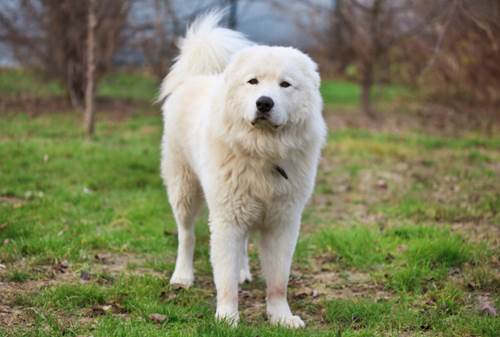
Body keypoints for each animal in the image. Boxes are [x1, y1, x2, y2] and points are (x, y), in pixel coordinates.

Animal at [158, 11, 326, 326]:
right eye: (253, 82)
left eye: (285, 84)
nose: (264, 103)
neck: (263, 151)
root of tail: (197, 76)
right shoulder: (227, 219)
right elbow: (224, 281)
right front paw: (227, 318)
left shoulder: (282, 222)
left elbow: (278, 281)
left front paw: (281, 317)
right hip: (185, 190)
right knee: (186, 235)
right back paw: (182, 277)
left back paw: (243, 272)